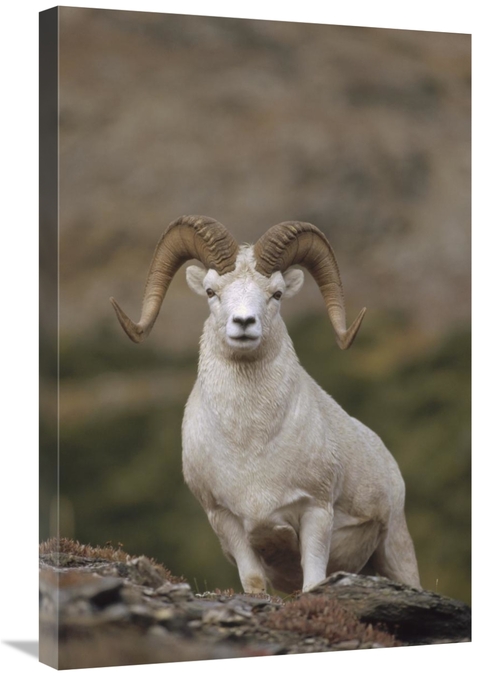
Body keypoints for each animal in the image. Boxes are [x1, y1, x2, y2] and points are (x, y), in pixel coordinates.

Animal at [111, 215, 421, 594]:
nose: (244, 323)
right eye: (212, 291)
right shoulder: (227, 522)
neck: (251, 446)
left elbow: (313, 582)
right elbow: (254, 582)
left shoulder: (316, 513)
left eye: (276, 293)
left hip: (395, 550)